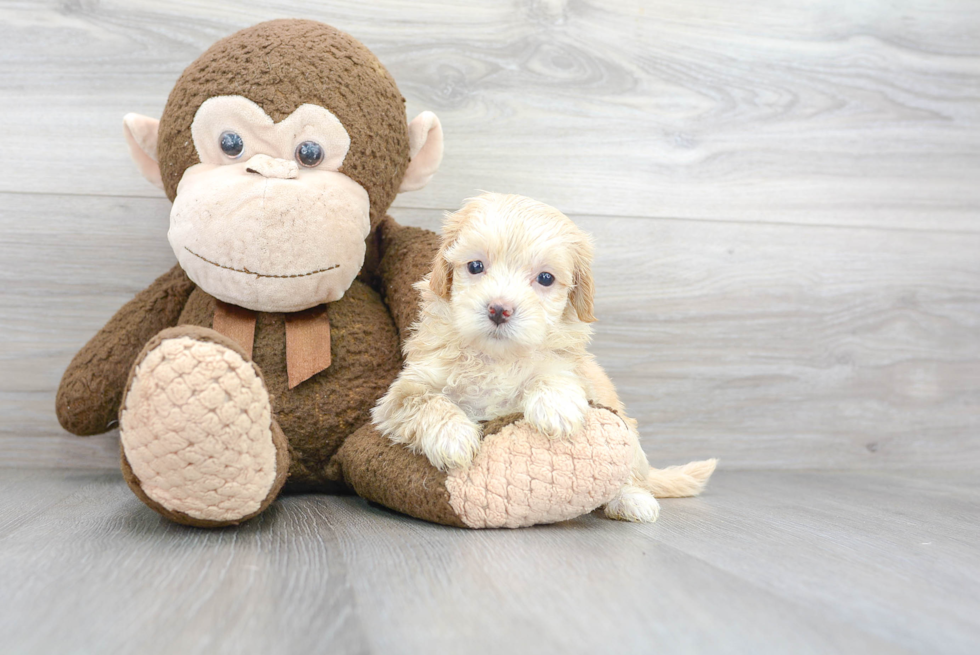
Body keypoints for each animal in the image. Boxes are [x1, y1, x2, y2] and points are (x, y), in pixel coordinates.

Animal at [372, 193, 716, 524]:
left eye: (546, 278)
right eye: (475, 266)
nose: (499, 309)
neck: (496, 357)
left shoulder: (572, 369)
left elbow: (554, 373)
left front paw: (556, 408)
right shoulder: (402, 392)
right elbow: (425, 401)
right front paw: (452, 436)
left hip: (629, 434)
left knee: (631, 471)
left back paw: (632, 499)